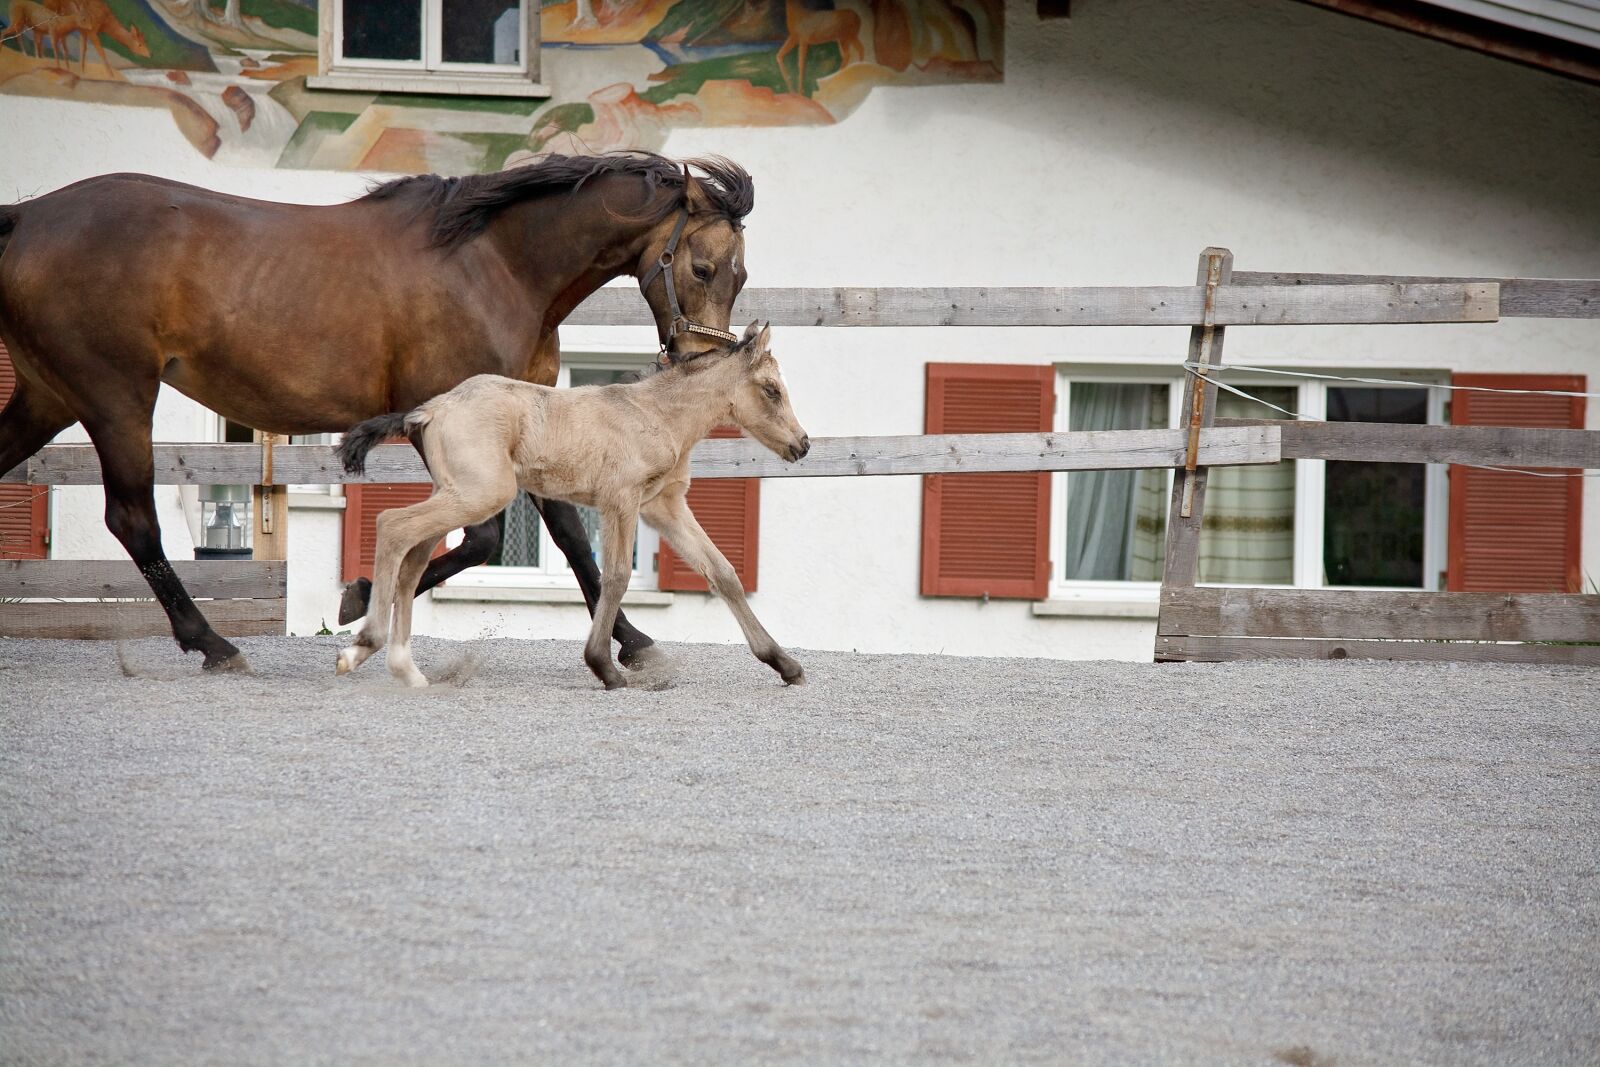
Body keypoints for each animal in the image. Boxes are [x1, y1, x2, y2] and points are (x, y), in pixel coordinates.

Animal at [0, 152, 753, 672]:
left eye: (741, 273)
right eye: (704, 268)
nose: (699, 365)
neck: (497, 264)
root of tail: (29, 217)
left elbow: (569, 536)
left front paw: (635, 642)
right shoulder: (444, 416)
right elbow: (477, 539)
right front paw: (359, 599)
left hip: (50, 395)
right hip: (116, 397)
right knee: (133, 519)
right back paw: (214, 644)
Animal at [333, 321, 809, 691]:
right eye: (771, 390)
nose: (802, 445)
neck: (657, 414)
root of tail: (431, 409)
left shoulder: (664, 507)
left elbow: (722, 573)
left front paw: (784, 664)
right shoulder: (621, 500)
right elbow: (615, 577)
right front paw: (605, 668)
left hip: (455, 493)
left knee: (411, 558)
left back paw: (405, 669)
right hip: (482, 493)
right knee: (392, 525)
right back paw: (364, 645)